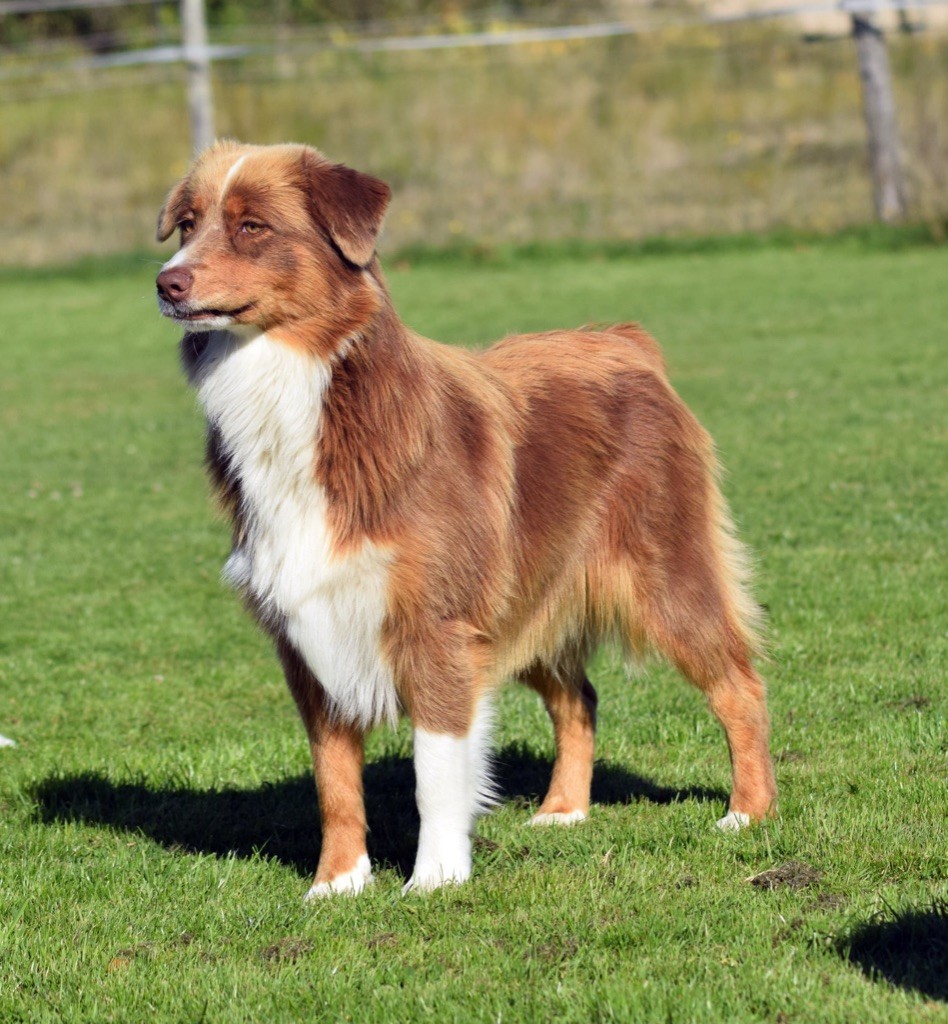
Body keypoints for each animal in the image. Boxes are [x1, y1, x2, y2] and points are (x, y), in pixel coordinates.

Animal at [155, 142, 778, 897]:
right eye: (188, 224)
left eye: (252, 227)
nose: (167, 284)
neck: (301, 388)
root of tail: (626, 343)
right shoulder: (306, 633)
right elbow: (334, 777)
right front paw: (337, 882)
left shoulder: (436, 625)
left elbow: (435, 769)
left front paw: (435, 878)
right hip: (528, 600)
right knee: (579, 699)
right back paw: (564, 811)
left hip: (664, 577)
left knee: (739, 684)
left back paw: (748, 812)